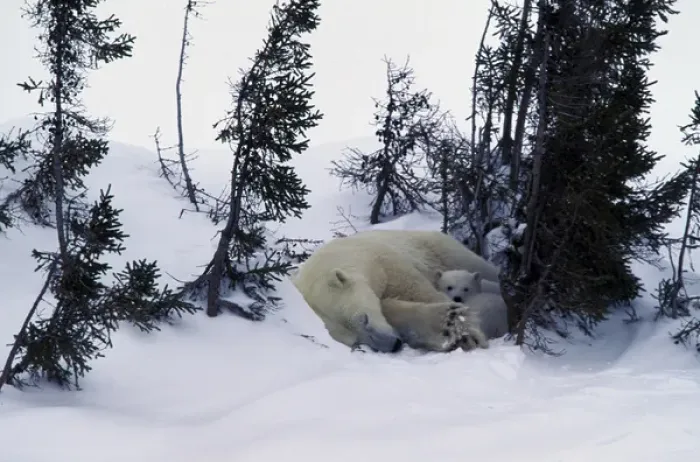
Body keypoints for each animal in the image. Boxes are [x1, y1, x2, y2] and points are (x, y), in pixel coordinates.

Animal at [291, 229, 499, 353]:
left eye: (364, 318)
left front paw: (464, 330)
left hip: (439, 249)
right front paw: (449, 330)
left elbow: (416, 290)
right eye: (356, 341)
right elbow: (394, 309)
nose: (393, 344)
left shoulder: (383, 262)